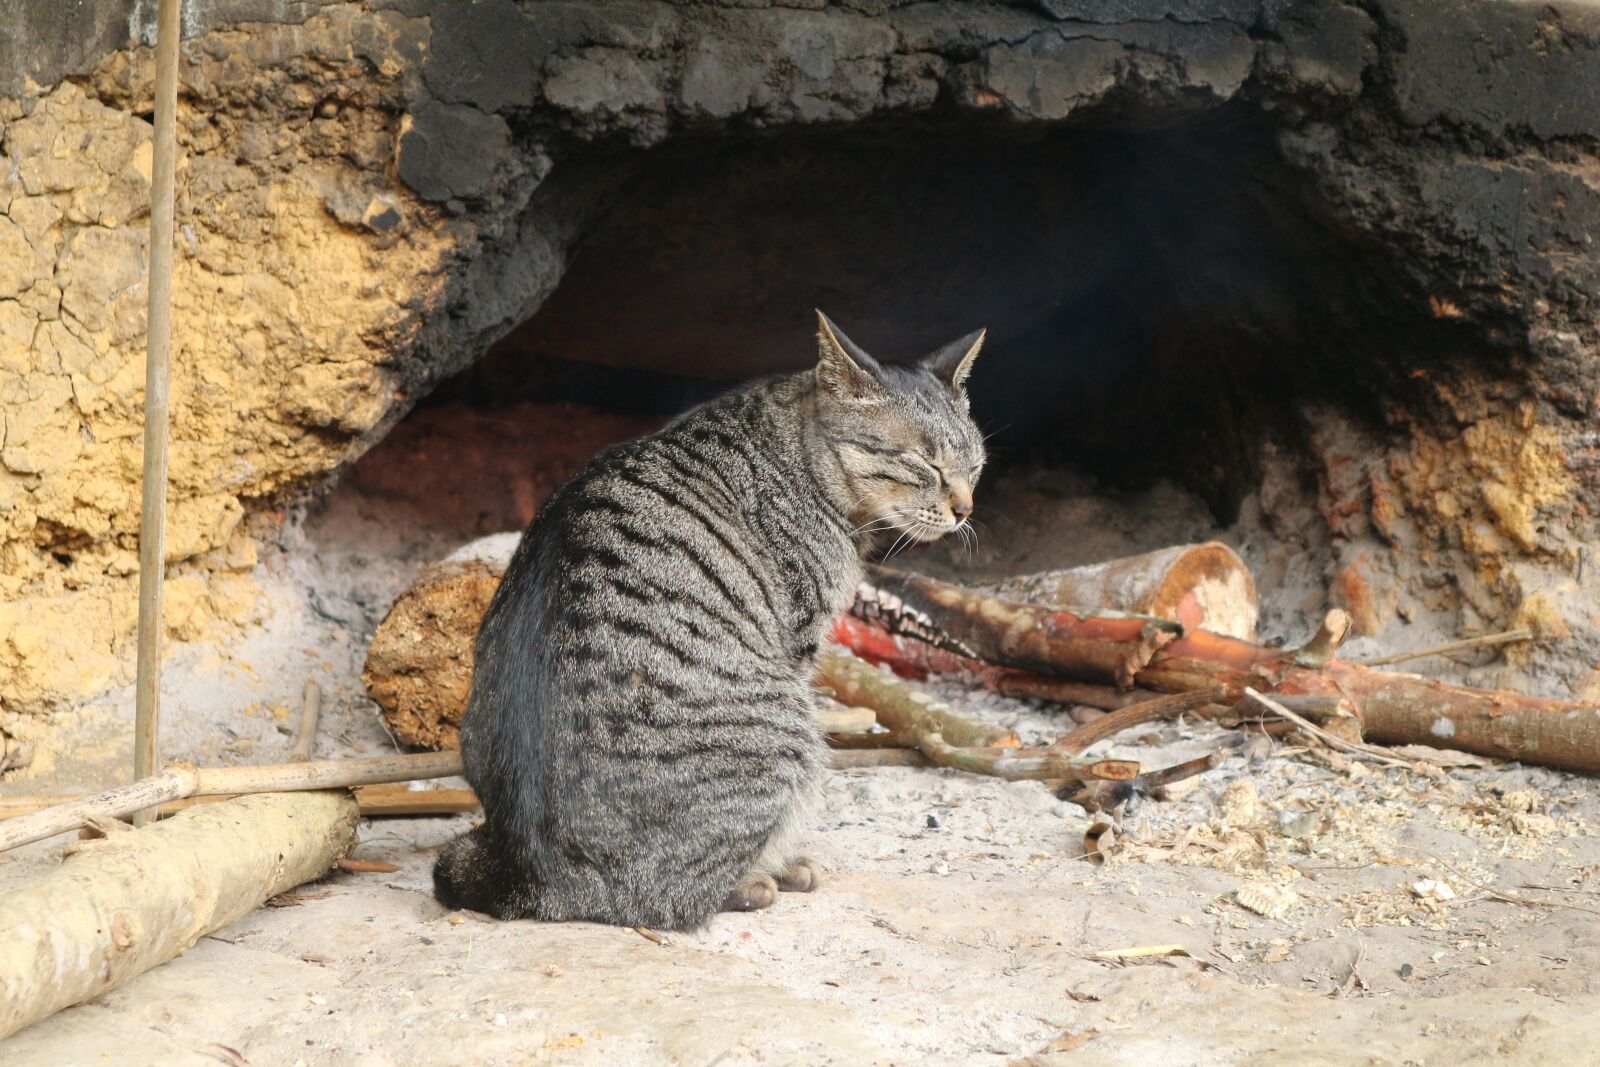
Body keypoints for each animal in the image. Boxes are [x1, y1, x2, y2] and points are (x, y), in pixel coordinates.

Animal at [435, 308, 985, 927]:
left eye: (975, 464)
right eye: (924, 462)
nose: (965, 508)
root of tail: (532, 876)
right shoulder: (800, 639)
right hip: (788, 726)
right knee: (679, 895)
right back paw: (761, 878)